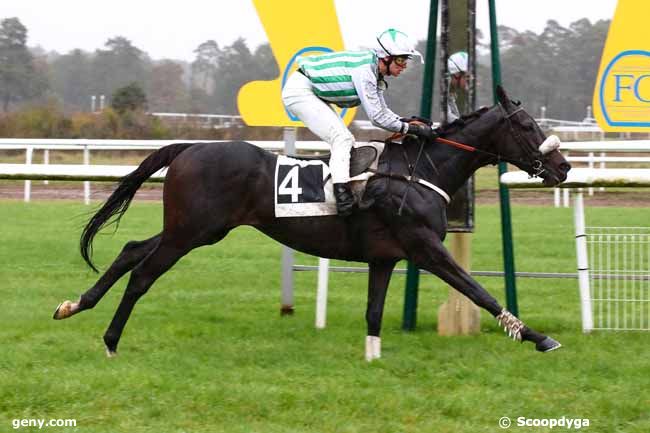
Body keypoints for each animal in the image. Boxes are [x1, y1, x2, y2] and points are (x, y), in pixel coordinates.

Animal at [57, 86, 572, 360]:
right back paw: (110, 341)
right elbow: (477, 290)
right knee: (143, 273)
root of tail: (189, 146)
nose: (564, 167)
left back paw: (73, 305)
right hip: (191, 233)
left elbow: (374, 312)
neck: (421, 170)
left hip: (195, 229)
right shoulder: (424, 247)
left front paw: (371, 357)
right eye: (527, 127)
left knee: (131, 251)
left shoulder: (385, 258)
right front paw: (537, 337)